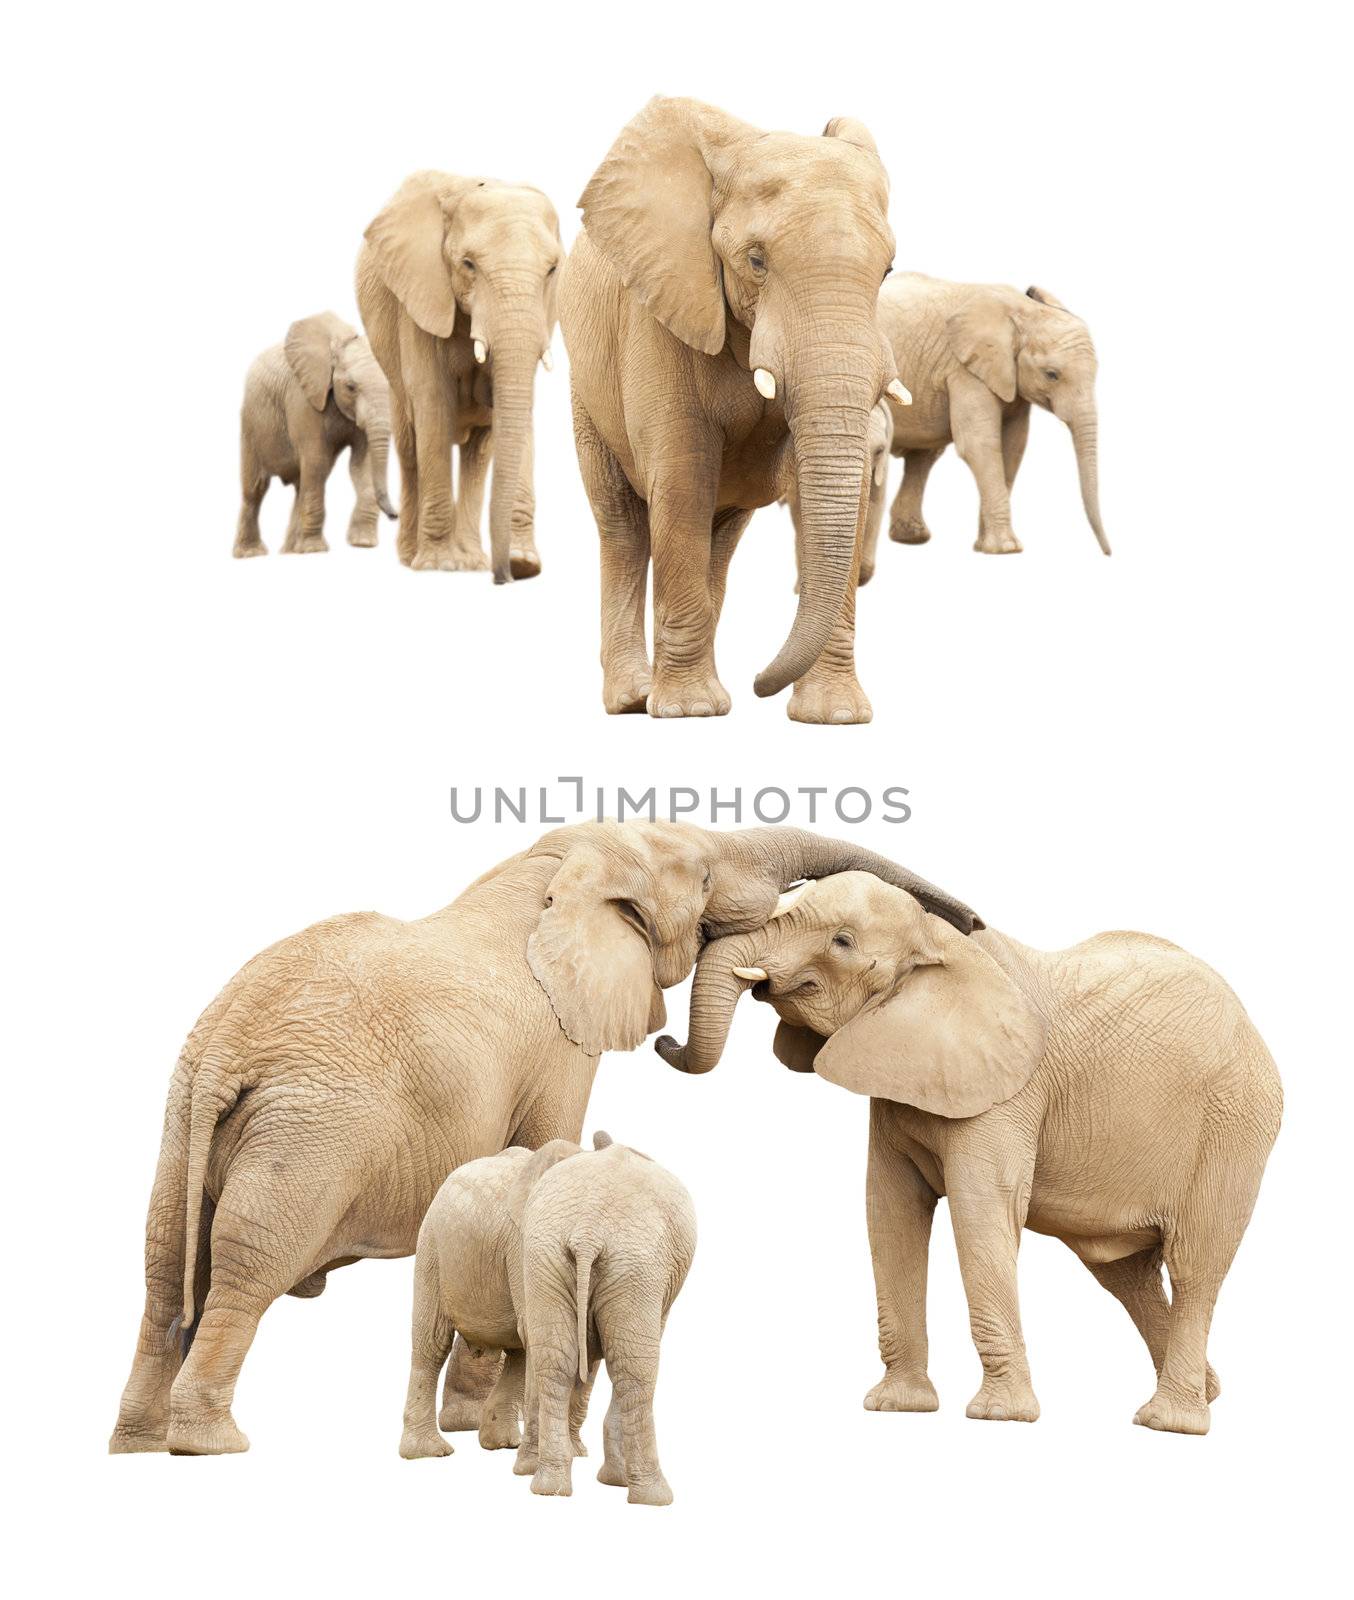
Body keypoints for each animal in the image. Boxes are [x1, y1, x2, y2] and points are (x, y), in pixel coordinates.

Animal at [108, 819, 973, 1459]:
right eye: (700, 878)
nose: (974, 922)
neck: (564, 867)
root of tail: (227, 1050)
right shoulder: (560, 1042)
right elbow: (541, 1148)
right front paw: (485, 1427)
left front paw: (473, 1427)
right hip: (304, 1140)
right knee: (248, 1267)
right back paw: (210, 1445)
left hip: (183, 1125)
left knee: (162, 1268)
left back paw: (137, 1446)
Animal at [355, 172, 563, 585]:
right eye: (468, 264)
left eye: (552, 270)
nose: (503, 577)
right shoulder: (421, 297)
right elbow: (433, 403)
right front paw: (439, 565)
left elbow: (510, 412)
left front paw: (521, 563)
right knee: (411, 448)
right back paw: (413, 557)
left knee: (477, 453)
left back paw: (471, 560)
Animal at [560, 100, 909, 726]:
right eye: (756, 260)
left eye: (888, 271)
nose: (759, 684)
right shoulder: (661, 306)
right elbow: (681, 478)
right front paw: (689, 712)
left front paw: (835, 718)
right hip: (586, 387)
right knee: (623, 521)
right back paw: (634, 700)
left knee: (719, 532)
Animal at [662, 876, 1286, 1440]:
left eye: (841, 941)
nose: (664, 1040)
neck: (937, 940)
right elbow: (889, 1212)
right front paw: (897, 1408)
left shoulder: (1009, 1092)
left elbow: (980, 1211)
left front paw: (998, 1418)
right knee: (1125, 1275)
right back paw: (1207, 1391)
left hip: (1233, 1127)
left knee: (1194, 1263)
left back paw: (1171, 1422)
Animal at [877, 280, 1113, 563]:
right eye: (1051, 375)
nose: (1108, 553)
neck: (1023, 310)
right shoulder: (963, 369)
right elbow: (979, 445)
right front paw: (1006, 549)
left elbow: (1013, 446)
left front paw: (985, 546)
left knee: (924, 455)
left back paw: (912, 538)